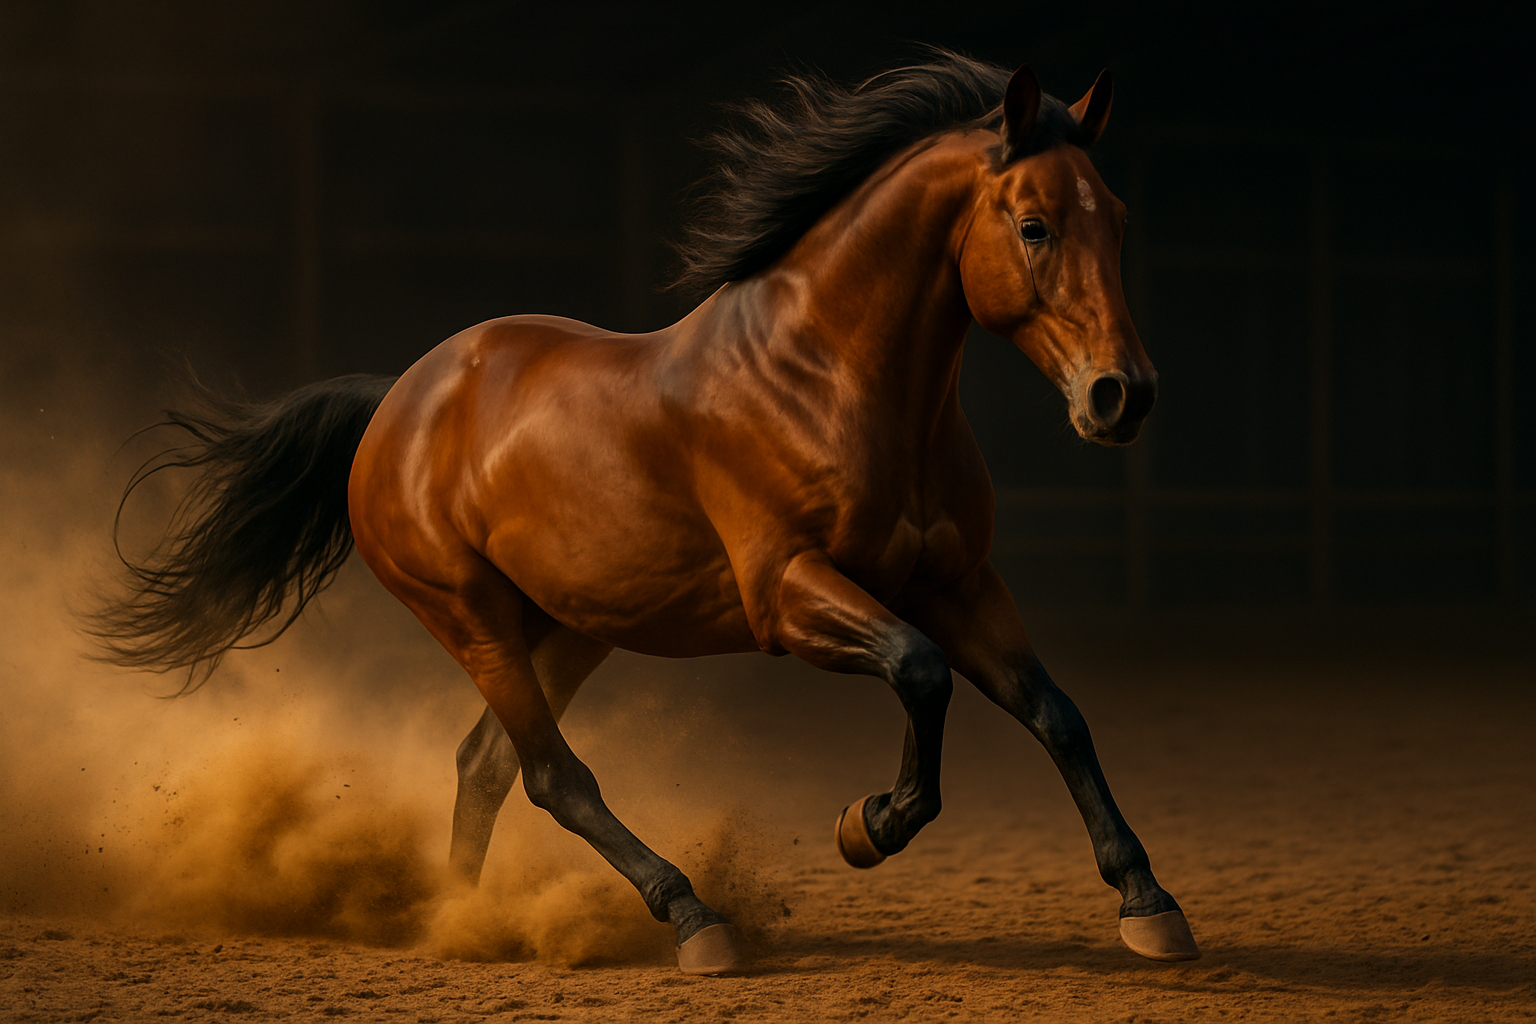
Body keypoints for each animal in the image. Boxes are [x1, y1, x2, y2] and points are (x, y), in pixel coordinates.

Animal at [92, 51, 1198, 975]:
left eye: (1118, 219)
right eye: (1034, 225)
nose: (1123, 396)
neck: (830, 379)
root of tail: (397, 400)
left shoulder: (959, 581)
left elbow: (1055, 713)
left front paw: (1149, 904)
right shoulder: (789, 595)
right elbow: (922, 674)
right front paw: (868, 823)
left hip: (574, 624)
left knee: (485, 764)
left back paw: (458, 921)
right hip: (470, 615)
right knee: (550, 774)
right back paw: (692, 920)